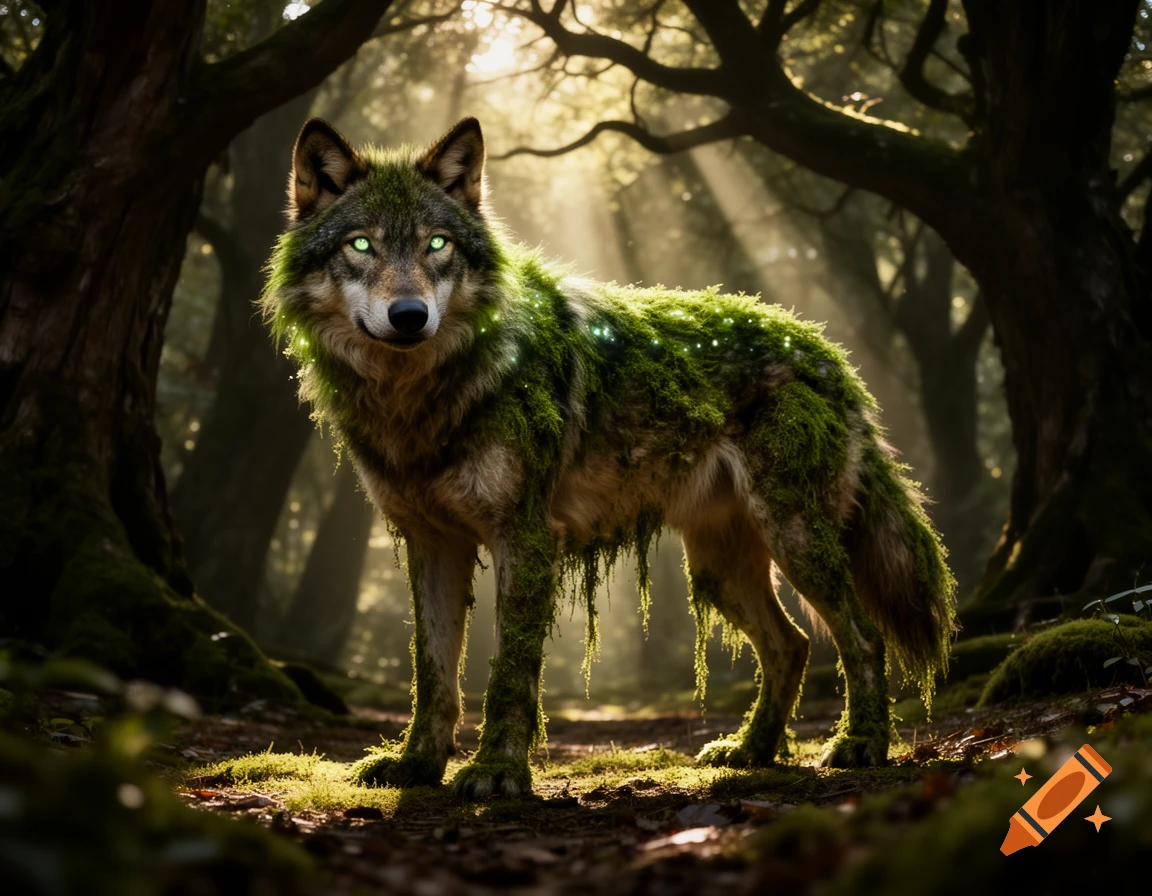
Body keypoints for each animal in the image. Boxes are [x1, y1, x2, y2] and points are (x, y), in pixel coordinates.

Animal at [262, 116, 956, 799]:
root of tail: (827, 354)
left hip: (795, 538)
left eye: (437, 245)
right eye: (361, 246)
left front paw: (496, 772)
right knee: (794, 644)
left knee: (862, 637)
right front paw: (416, 765)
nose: (410, 316)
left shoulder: (524, 536)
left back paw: (860, 744)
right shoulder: (433, 544)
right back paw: (750, 751)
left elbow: (510, 670)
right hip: (719, 568)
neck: (421, 399)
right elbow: (433, 673)